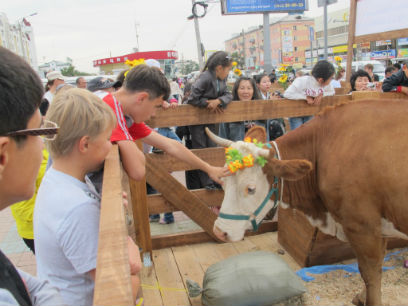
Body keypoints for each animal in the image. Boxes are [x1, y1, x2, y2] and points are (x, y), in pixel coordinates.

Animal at [206, 99, 408, 304]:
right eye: (222, 181)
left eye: (251, 188)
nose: (220, 231)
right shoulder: (379, 227)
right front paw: (361, 297)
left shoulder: (363, 226)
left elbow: (370, 273)